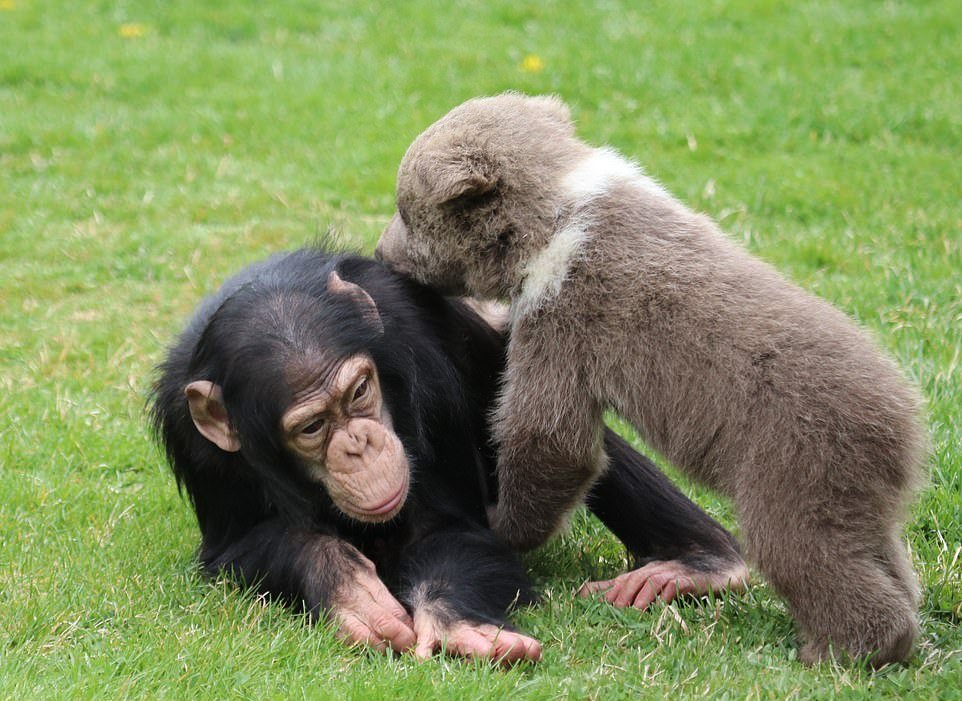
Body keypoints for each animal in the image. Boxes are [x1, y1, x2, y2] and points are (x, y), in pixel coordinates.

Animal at [150, 246, 748, 660]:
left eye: (359, 392)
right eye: (314, 426)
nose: (360, 444)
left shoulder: (419, 350)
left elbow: (445, 527)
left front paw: (455, 621)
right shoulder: (194, 440)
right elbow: (240, 546)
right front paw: (344, 584)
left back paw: (701, 563)